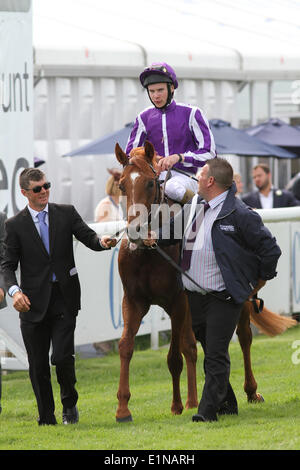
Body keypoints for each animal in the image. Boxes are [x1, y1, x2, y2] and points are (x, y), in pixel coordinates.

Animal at [113, 140, 296, 422]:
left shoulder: (178, 302)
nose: (135, 231)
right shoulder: (134, 301)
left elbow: (176, 355)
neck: (150, 252)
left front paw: (181, 404)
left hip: (239, 300)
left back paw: (248, 391)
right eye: (122, 184)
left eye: (150, 183)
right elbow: (126, 346)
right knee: (194, 344)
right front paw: (123, 408)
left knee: (242, 338)